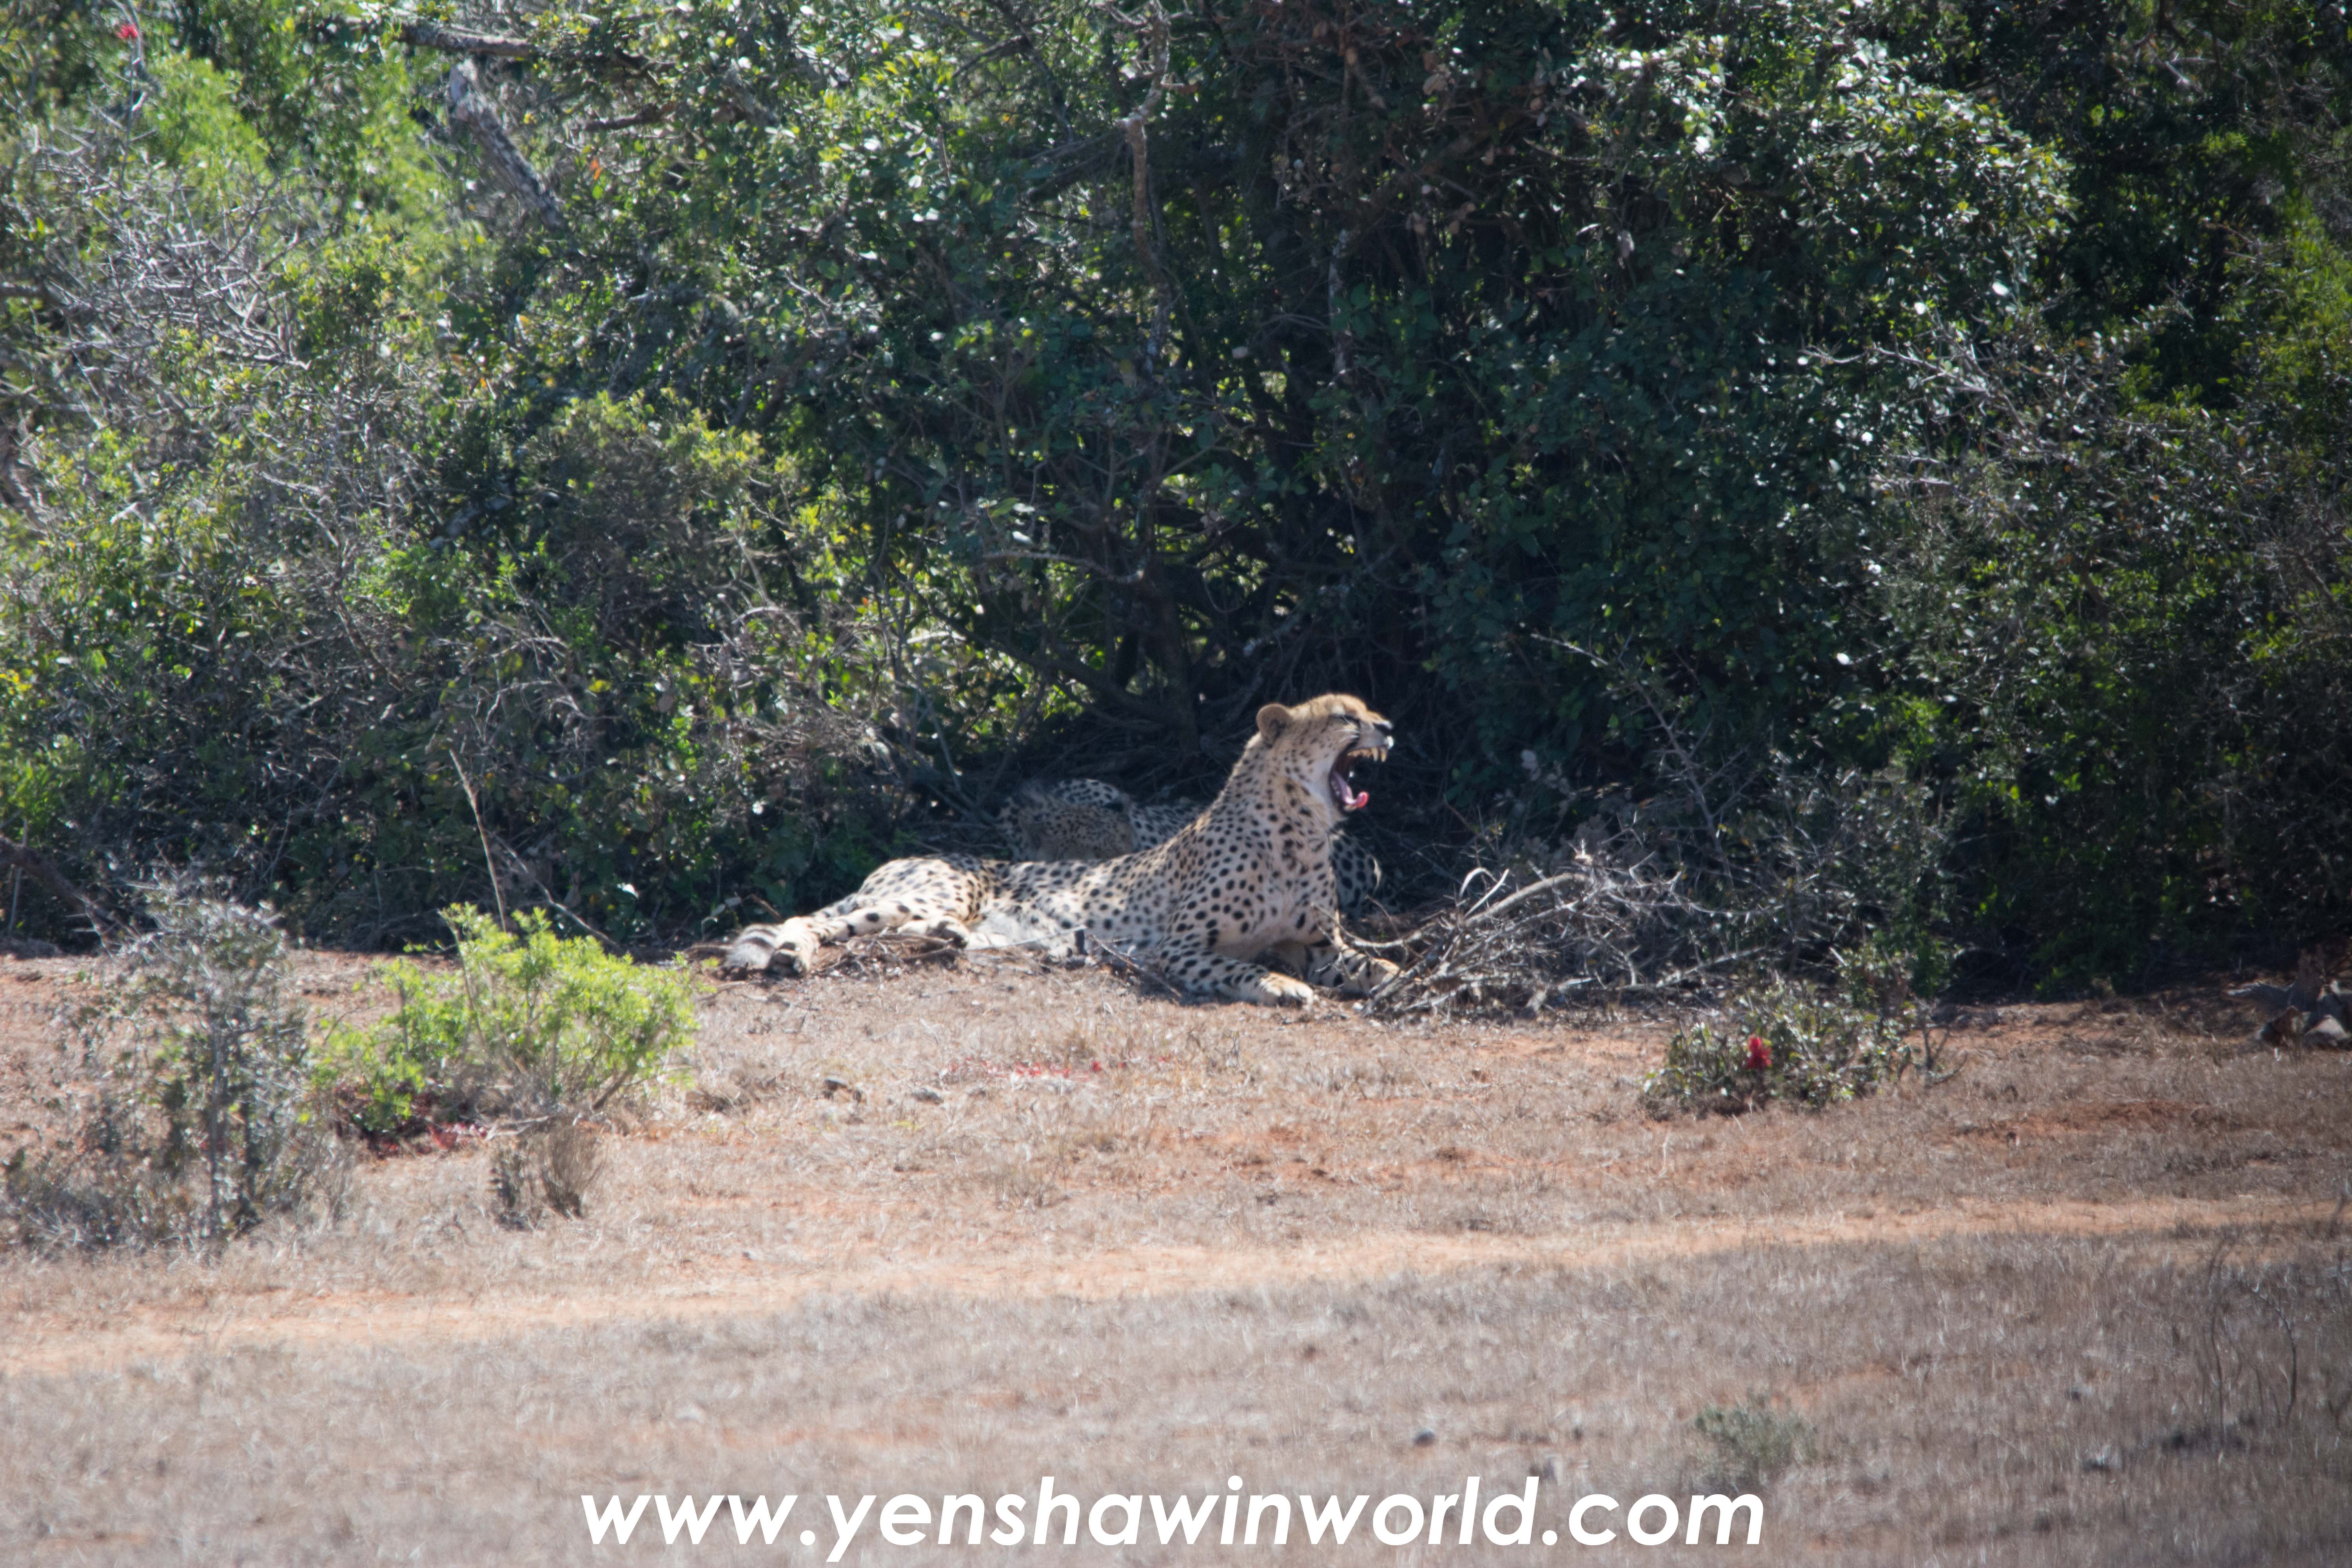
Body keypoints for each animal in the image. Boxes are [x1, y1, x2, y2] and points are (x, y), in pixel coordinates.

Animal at [721, 694, 1401, 1007]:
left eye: (1368, 710)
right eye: (1346, 717)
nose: (1390, 728)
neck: (1298, 833)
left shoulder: (1321, 946)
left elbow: (1377, 966)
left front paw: (1407, 981)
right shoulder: (1176, 950)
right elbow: (1243, 967)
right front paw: (1281, 986)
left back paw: (949, 939)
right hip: (929, 891)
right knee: (817, 920)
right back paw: (795, 952)